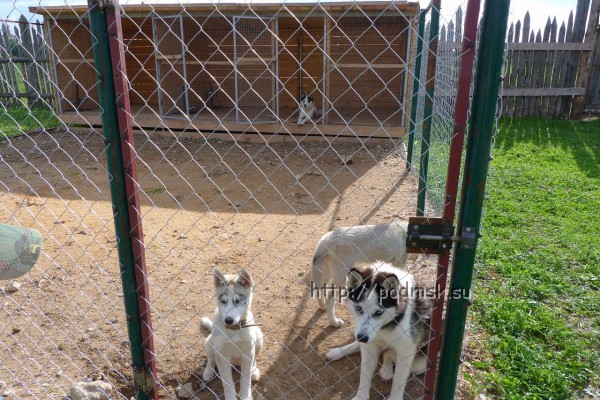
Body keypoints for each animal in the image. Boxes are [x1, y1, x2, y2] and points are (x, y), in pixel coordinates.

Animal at [202, 268, 262, 400]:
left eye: (238, 301)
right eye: (223, 301)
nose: (228, 320)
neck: (233, 330)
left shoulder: (248, 353)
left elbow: (245, 380)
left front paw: (246, 396)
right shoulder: (222, 356)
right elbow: (228, 384)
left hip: (259, 338)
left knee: (255, 358)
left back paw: (254, 370)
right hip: (209, 342)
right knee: (211, 358)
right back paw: (208, 371)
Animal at [332, 260, 432, 400]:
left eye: (379, 312)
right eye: (358, 308)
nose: (362, 337)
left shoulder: (406, 350)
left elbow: (398, 381)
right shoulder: (368, 343)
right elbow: (364, 375)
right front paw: (360, 396)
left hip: (421, 363)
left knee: (388, 353)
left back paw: (386, 369)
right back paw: (337, 352)